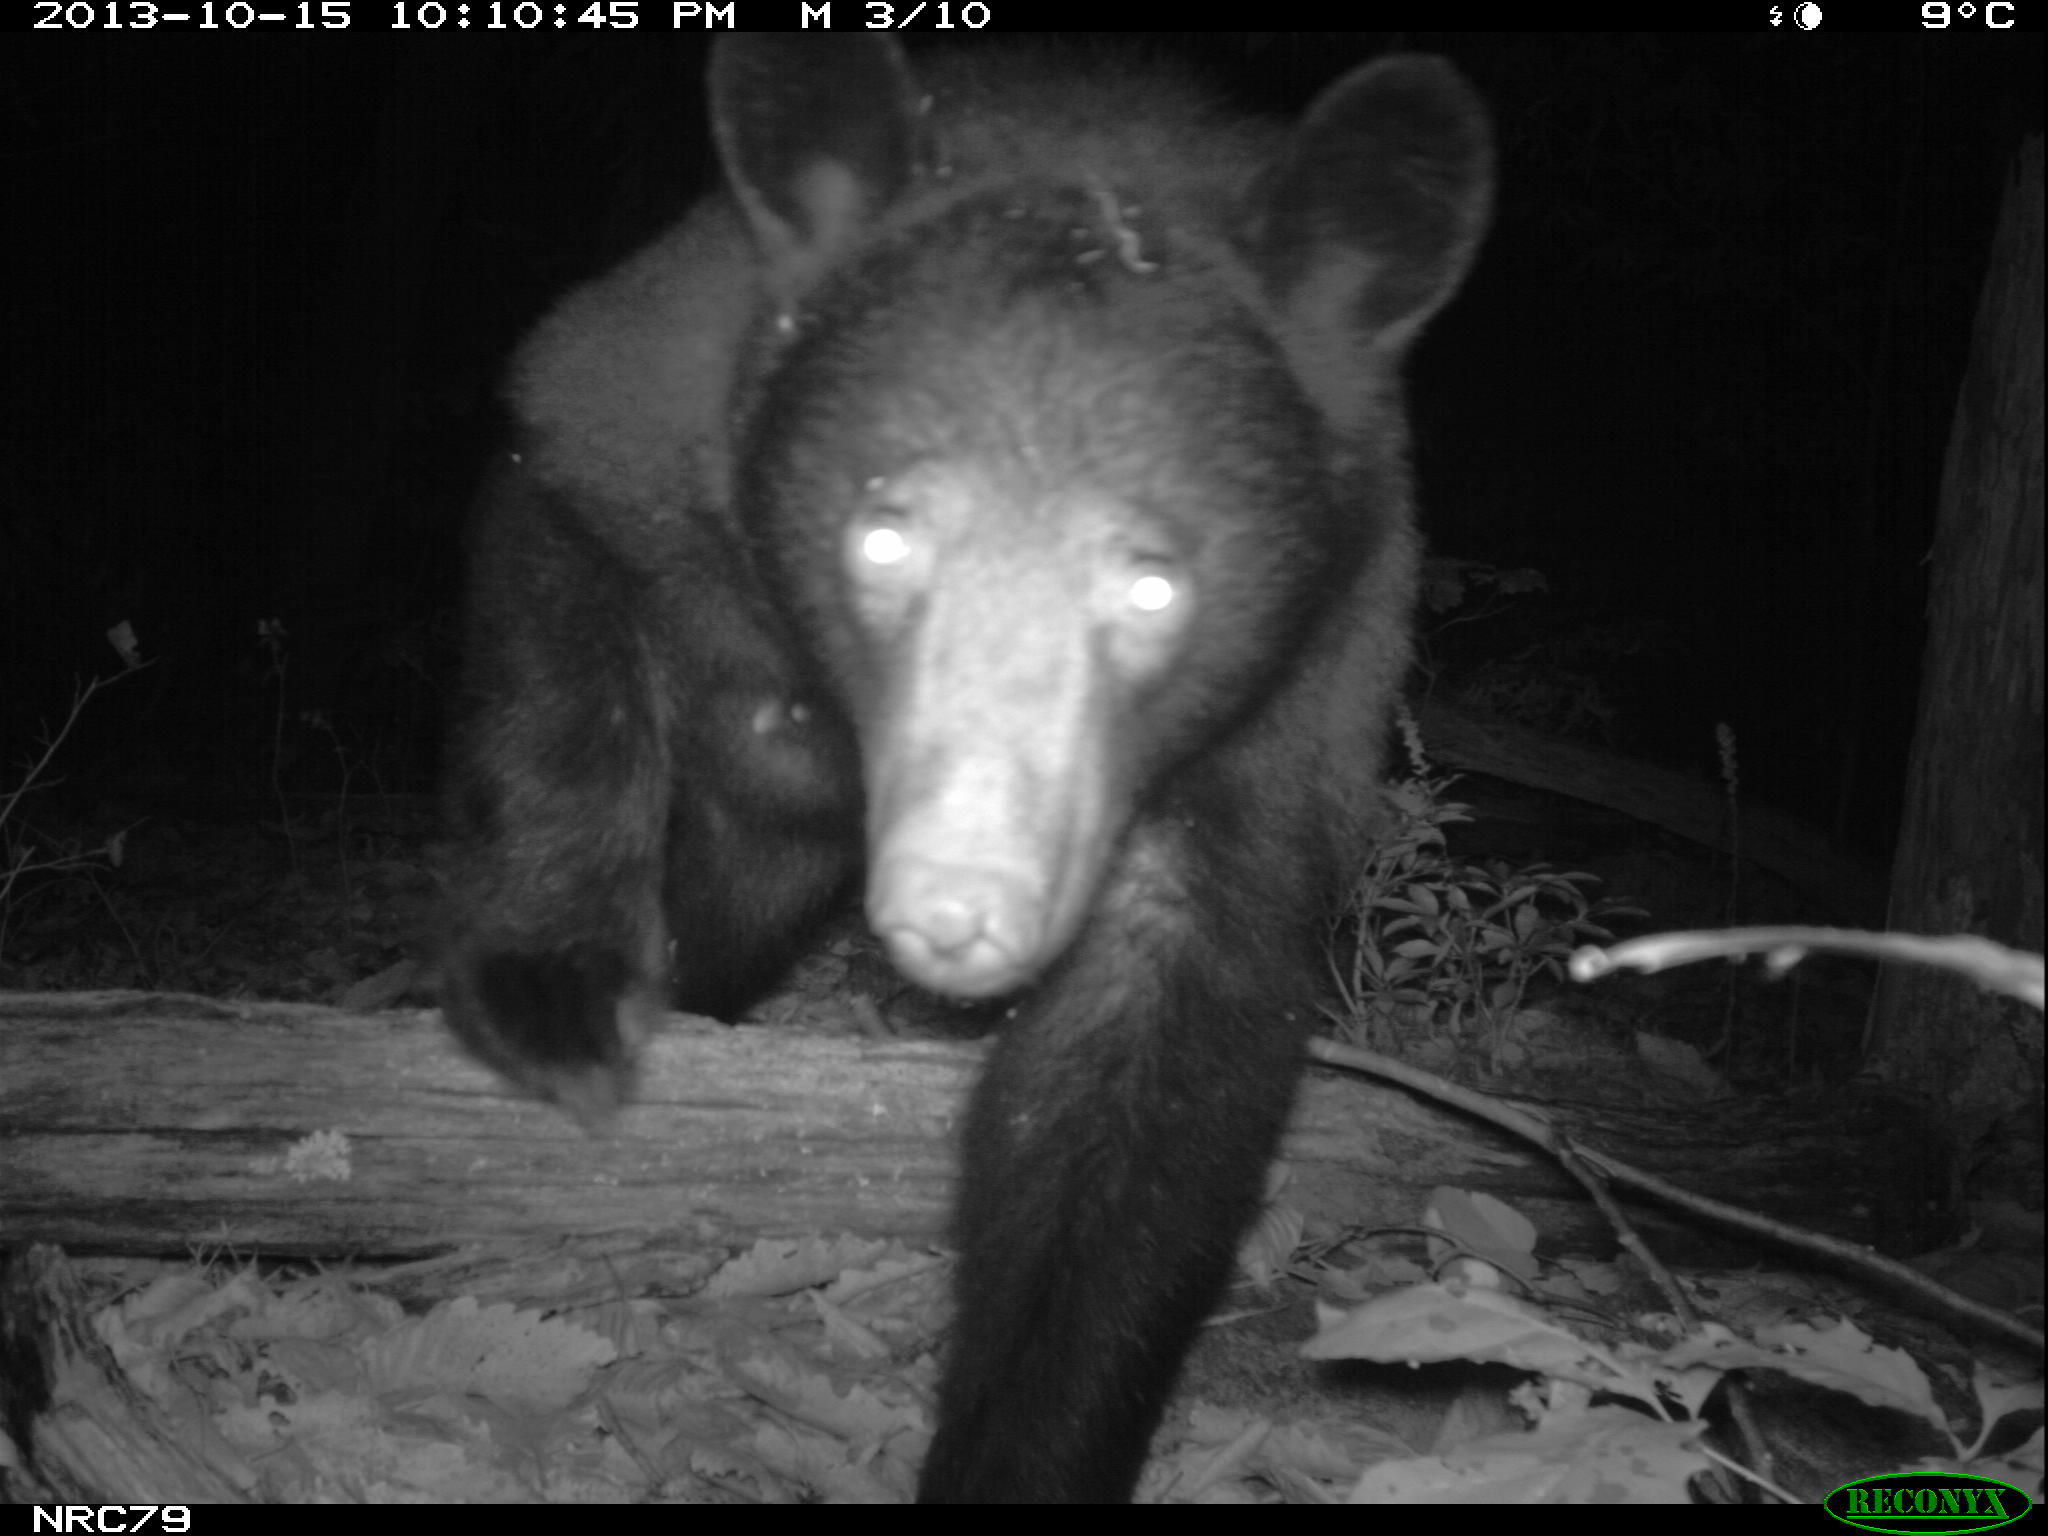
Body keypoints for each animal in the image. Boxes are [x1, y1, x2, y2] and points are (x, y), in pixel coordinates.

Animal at [444, 36, 1490, 1507]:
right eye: (883, 537)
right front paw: (557, 994)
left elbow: (1141, 1093)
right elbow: (561, 624)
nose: (961, 906)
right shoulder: (650, 402)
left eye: (1155, 583)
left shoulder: (1298, 687)